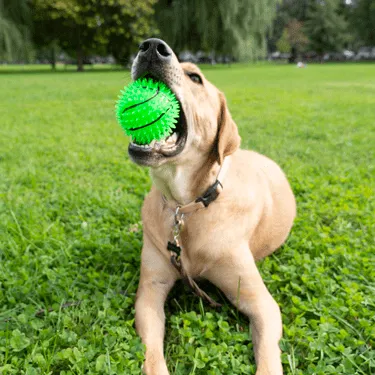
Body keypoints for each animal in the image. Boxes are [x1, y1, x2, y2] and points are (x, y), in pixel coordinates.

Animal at [128, 39, 298, 375]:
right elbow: (152, 353)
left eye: (195, 77)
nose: (151, 46)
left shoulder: (261, 303)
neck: (187, 205)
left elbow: (268, 357)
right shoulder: (149, 292)